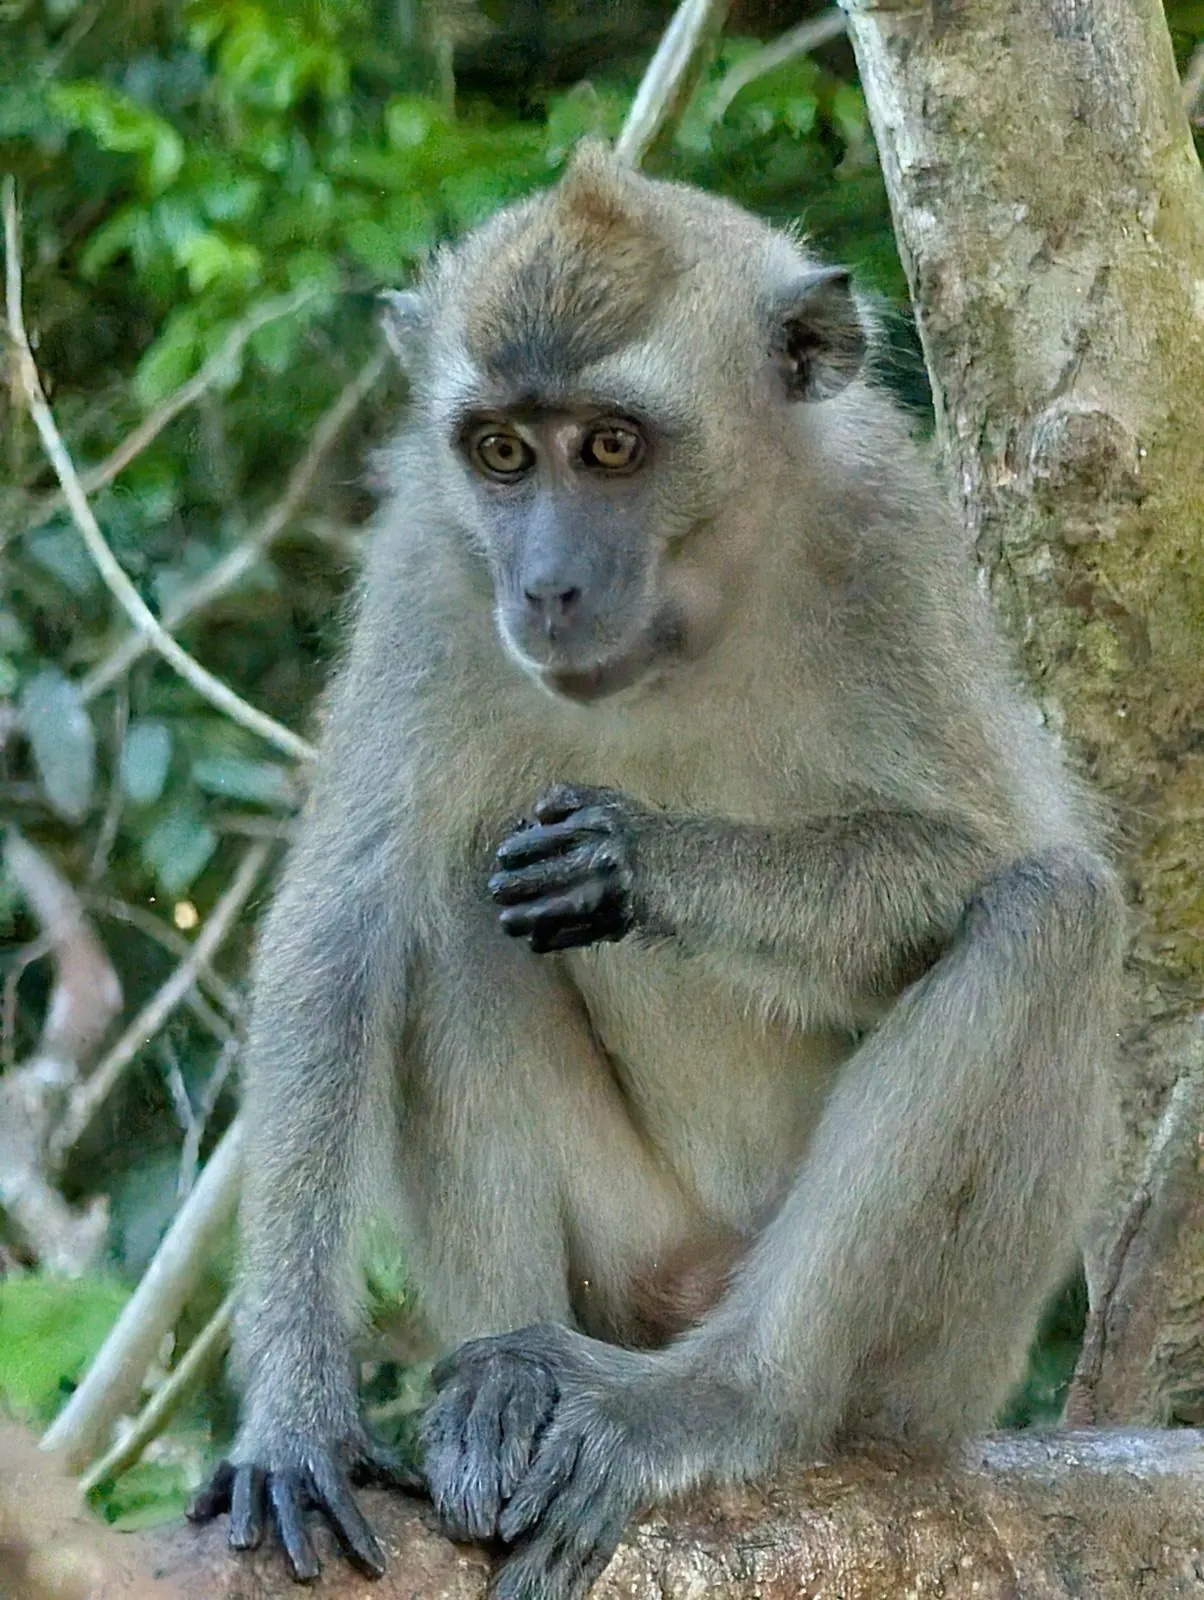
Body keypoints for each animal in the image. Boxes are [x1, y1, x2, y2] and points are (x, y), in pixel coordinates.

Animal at [188, 139, 1125, 1599]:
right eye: (502, 452)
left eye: (613, 446)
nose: (544, 587)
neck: (689, 617)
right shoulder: (433, 562)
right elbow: (345, 920)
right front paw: (292, 1414)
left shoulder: (888, 543)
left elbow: (997, 846)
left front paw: (639, 857)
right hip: (630, 1262)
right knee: (450, 899)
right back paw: (505, 1378)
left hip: (943, 1365)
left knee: (1049, 921)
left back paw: (727, 1398)